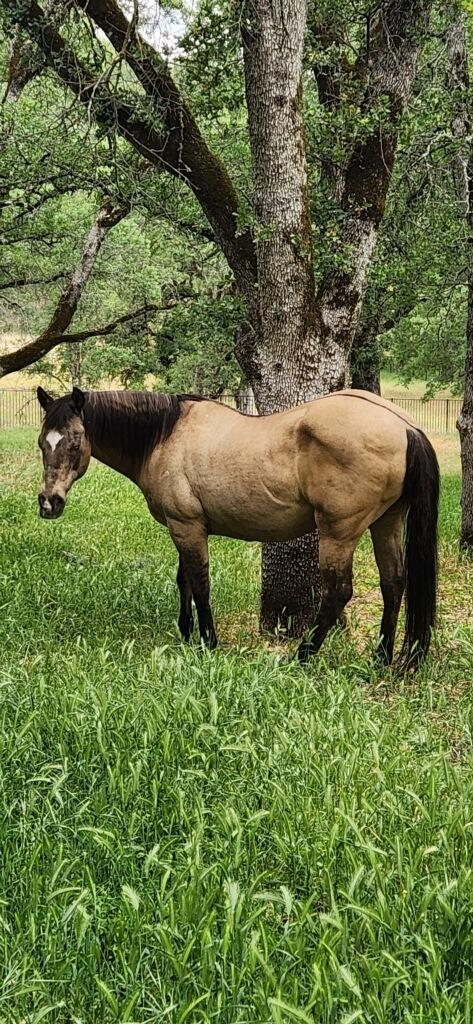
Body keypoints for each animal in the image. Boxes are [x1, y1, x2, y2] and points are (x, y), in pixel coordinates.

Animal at [36, 385, 440, 663]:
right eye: (42, 442)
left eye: (75, 442)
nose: (49, 503)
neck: (165, 436)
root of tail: (404, 426)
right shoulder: (184, 526)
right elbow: (184, 580)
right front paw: (186, 633)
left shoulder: (186, 526)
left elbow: (199, 583)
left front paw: (208, 641)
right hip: (386, 522)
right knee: (394, 583)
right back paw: (381, 657)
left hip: (338, 532)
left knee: (339, 592)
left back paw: (303, 656)